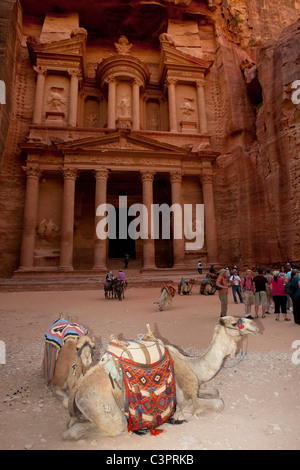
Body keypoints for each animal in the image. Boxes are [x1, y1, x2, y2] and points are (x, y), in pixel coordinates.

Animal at [62, 316, 258, 440]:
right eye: (236, 322)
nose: (255, 325)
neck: (194, 365)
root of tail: (80, 385)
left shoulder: (197, 386)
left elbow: (215, 391)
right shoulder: (186, 399)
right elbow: (218, 403)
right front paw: (182, 415)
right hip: (100, 405)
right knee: (96, 428)